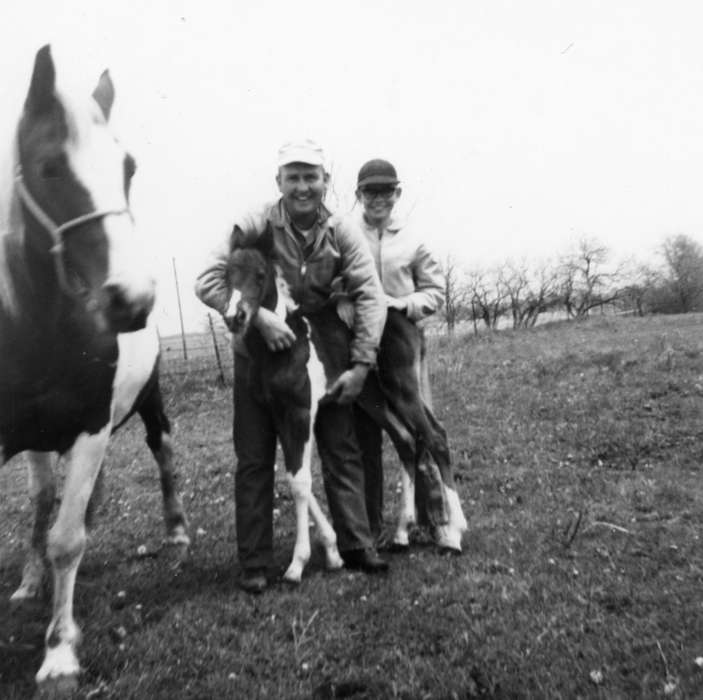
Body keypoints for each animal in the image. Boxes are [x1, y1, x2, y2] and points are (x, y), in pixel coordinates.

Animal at [0, 45, 161, 688]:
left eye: (129, 167)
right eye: (48, 168)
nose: (131, 299)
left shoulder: (92, 428)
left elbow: (69, 539)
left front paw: (60, 649)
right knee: (43, 498)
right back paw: (29, 581)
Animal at [226, 231, 468, 584]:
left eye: (259, 274)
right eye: (226, 273)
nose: (235, 317)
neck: (286, 342)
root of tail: (406, 315)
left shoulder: (301, 412)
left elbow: (300, 482)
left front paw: (298, 564)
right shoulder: (280, 414)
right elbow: (294, 475)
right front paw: (332, 551)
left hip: (402, 387)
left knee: (436, 437)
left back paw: (454, 533)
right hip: (371, 396)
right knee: (406, 441)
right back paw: (401, 534)